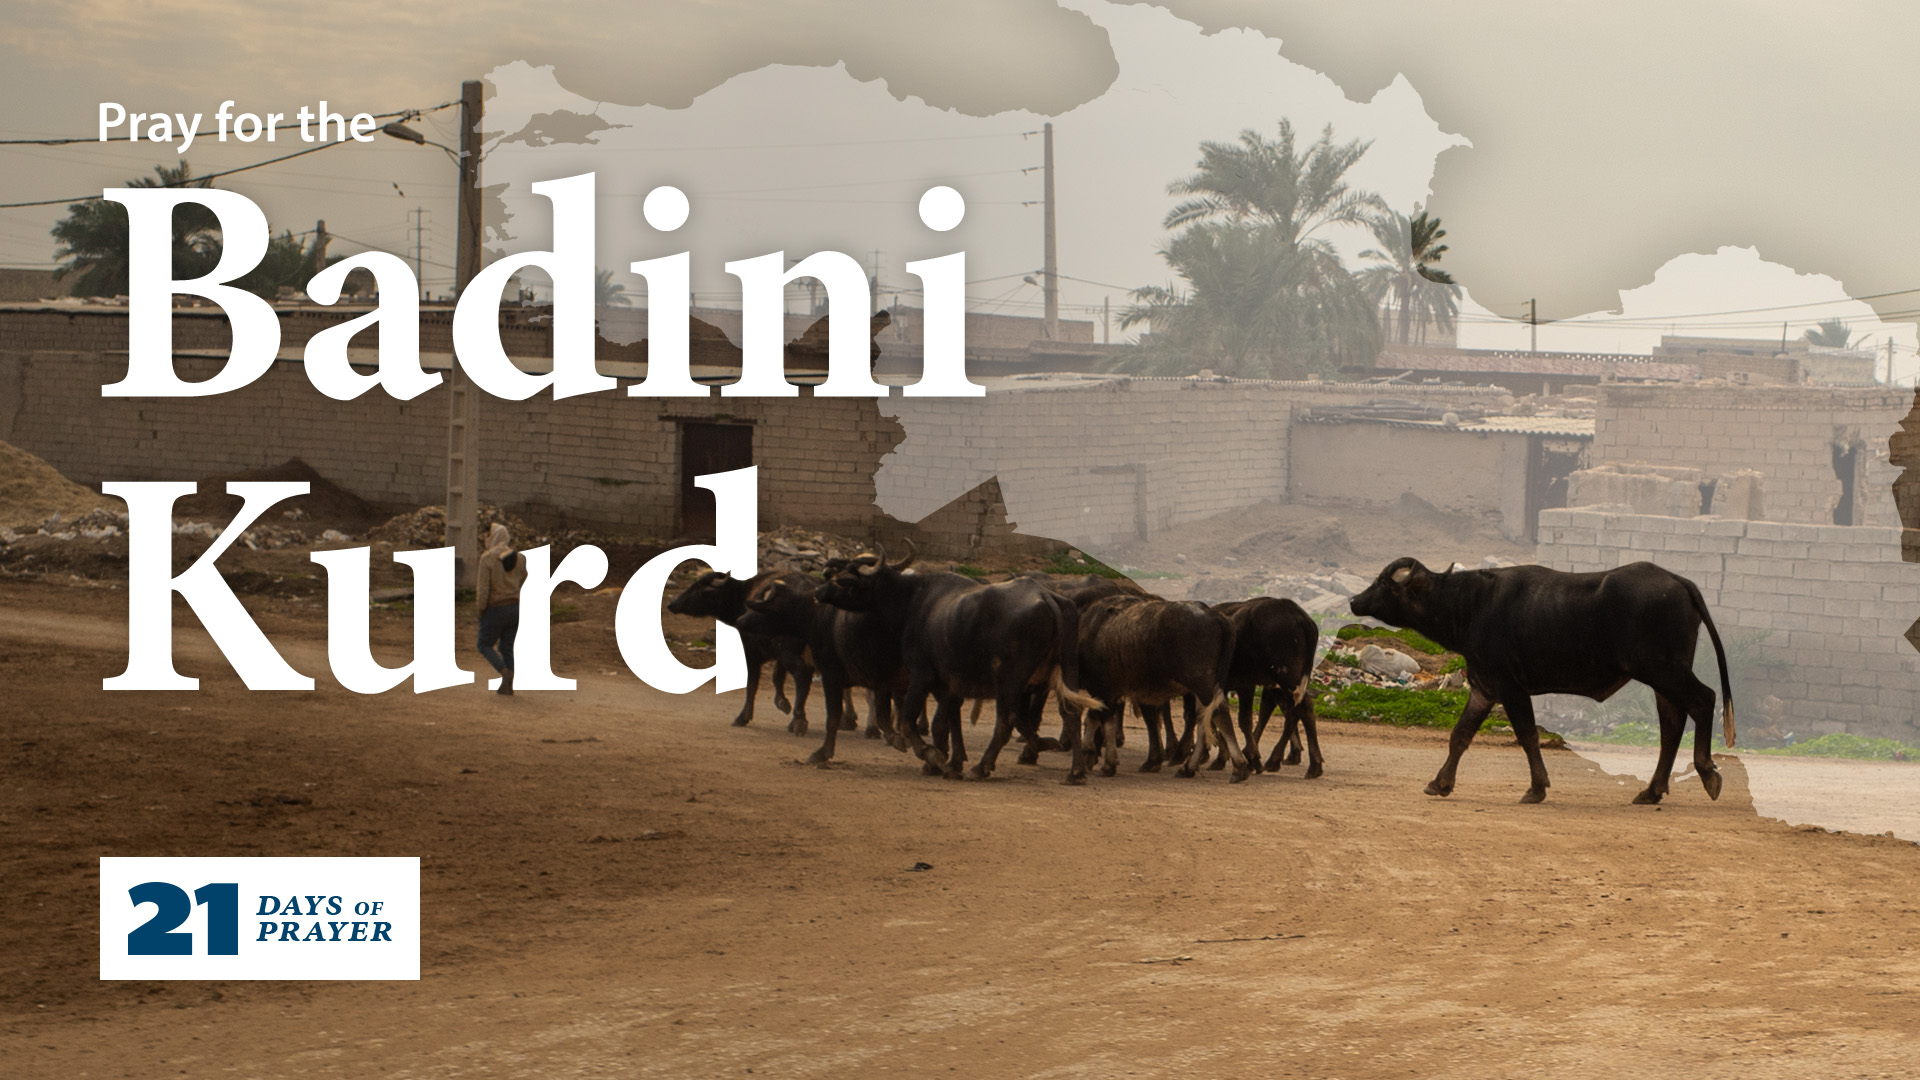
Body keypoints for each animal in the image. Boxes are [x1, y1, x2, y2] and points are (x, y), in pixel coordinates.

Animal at [817, 549, 1105, 776]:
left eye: (843, 579)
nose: (819, 591)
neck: (913, 601)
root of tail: (1047, 597)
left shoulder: (922, 674)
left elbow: (913, 721)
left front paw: (932, 756)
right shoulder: (949, 684)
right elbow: (948, 721)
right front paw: (951, 760)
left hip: (1010, 676)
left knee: (1007, 718)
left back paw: (982, 767)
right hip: (1066, 668)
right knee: (1068, 712)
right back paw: (1075, 771)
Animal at [1067, 591, 1244, 776]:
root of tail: (1212, 613)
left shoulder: (1103, 689)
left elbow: (1101, 719)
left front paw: (1104, 762)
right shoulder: (1119, 692)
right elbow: (1107, 719)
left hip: (1203, 684)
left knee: (1218, 712)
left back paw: (1237, 766)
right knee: (1204, 716)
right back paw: (1189, 767)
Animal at [1344, 557, 1735, 803]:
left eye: (1383, 583)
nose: (1353, 600)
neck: (1470, 605)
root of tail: (1679, 581)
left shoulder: (1511, 688)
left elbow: (1528, 736)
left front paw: (1536, 788)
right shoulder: (1485, 688)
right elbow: (1460, 735)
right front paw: (1440, 783)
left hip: (1662, 669)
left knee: (1704, 700)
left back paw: (1706, 772)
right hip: (1662, 676)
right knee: (1672, 723)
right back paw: (1651, 791)